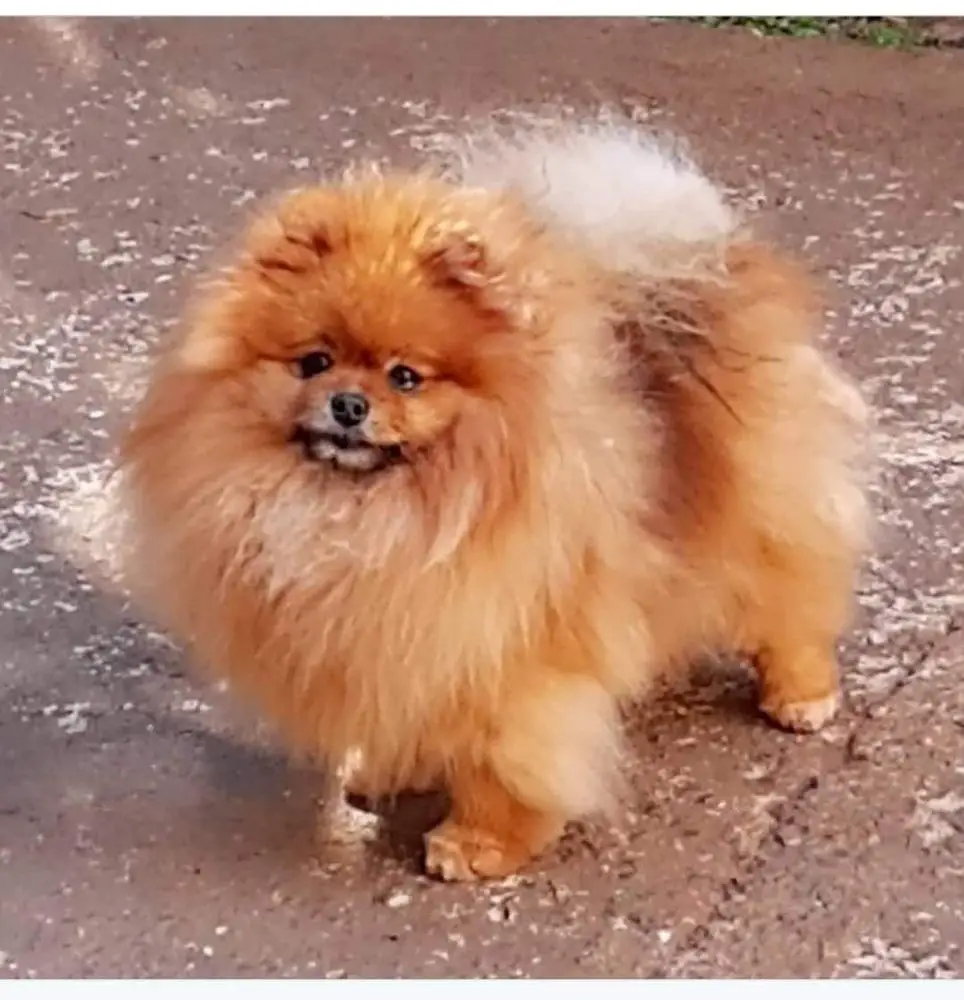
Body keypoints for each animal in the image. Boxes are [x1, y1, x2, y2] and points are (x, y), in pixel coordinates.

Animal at [120, 119, 872, 884]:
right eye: (314, 362)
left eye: (406, 376)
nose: (349, 404)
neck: (377, 515)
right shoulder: (397, 637)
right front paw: (393, 772)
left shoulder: (511, 649)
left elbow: (506, 759)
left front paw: (478, 842)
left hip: (767, 507)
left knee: (790, 596)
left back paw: (800, 694)